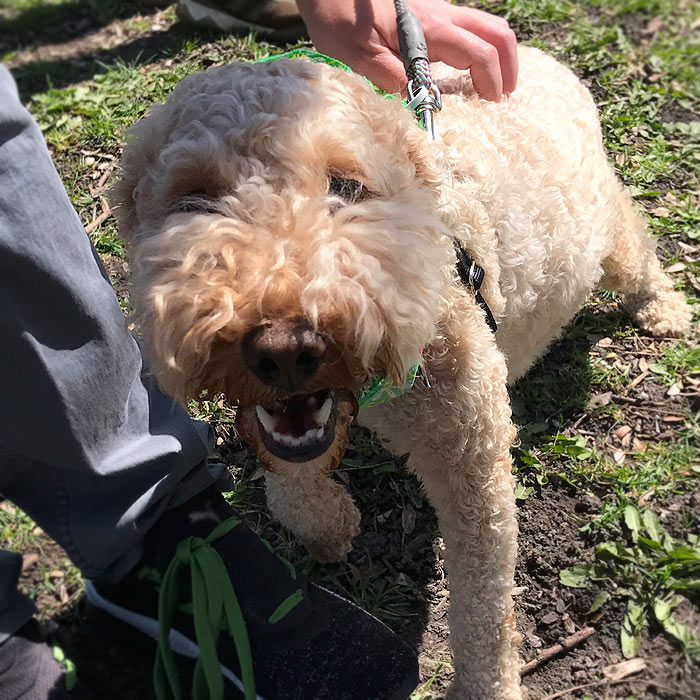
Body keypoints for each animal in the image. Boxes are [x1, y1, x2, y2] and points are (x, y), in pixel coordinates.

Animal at [112, 46, 692, 696]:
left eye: (347, 187)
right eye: (193, 200)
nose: (283, 348)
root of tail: (538, 55)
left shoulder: (472, 462)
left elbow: (483, 606)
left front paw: (487, 686)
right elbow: (287, 471)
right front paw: (324, 523)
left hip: (609, 231)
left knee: (639, 255)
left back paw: (665, 310)